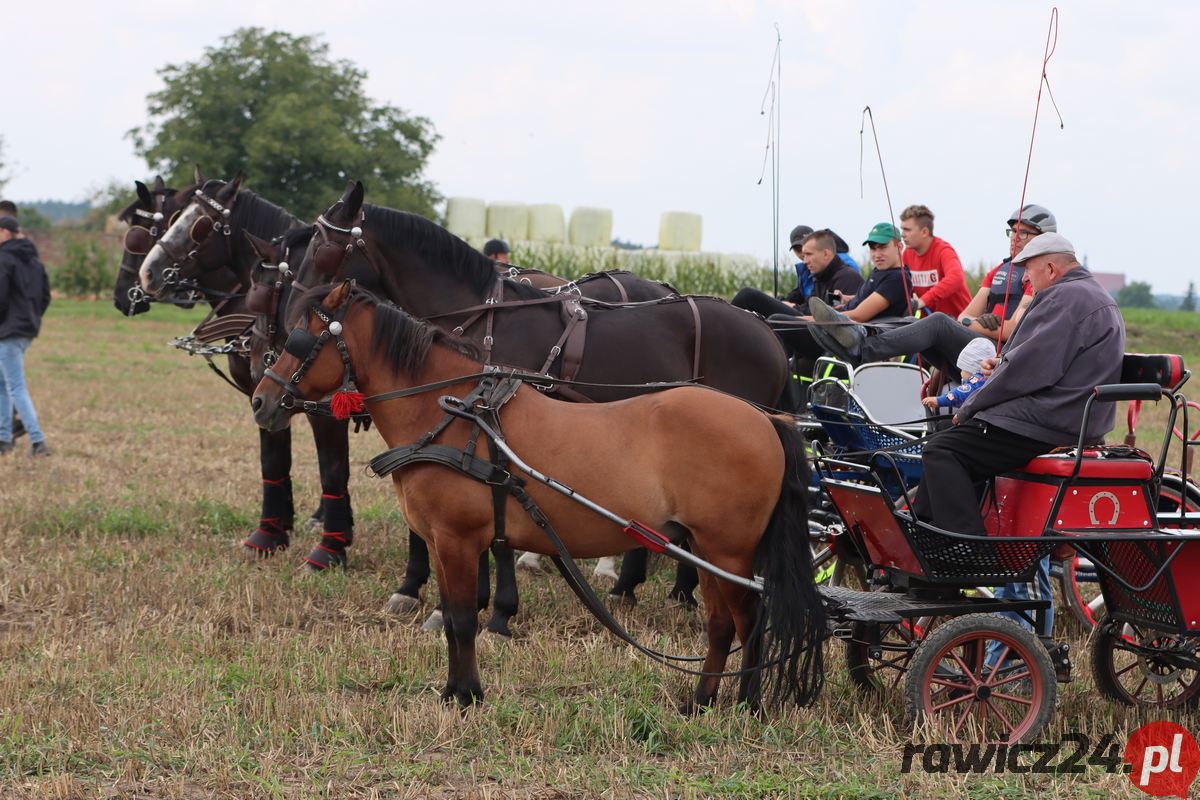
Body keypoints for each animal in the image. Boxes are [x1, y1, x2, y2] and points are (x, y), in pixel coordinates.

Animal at [137, 178, 355, 573]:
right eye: (176, 218)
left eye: (200, 225)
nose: (147, 273)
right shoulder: (265, 396)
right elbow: (273, 460)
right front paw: (271, 532)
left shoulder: (326, 410)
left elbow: (332, 469)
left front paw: (331, 547)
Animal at [253, 283, 825, 714]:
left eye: (302, 337)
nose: (261, 401)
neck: (452, 414)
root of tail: (767, 420)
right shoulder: (440, 541)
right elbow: (452, 618)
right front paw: (452, 692)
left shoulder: (457, 539)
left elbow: (464, 618)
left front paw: (468, 696)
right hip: (705, 548)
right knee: (721, 623)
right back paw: (700, 702)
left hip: (729, 548)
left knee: (750, 620)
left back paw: (747, 702)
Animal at [285, 181, 792, 638]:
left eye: (324, 245)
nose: (293, 316)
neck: (482, 315)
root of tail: (767, 332)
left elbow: (499, 535)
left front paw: (495, 612)